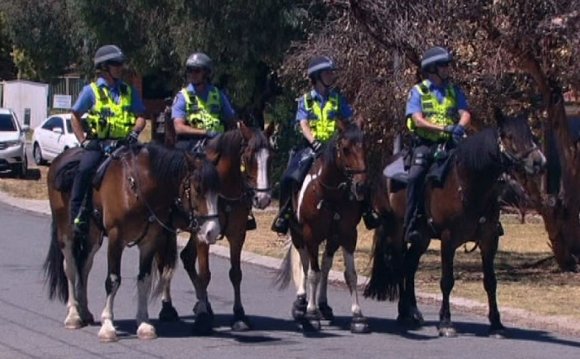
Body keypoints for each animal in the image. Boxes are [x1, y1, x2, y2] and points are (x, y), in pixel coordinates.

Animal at [43, 143, 222, 344]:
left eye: (218, 190)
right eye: (197, 189)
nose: (212, 231)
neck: (137, 188)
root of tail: (60, 158)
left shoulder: (149, 242)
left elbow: (143, 279)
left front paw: (144, 324)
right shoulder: (116, 238)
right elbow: (113, 280)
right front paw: (108, 326)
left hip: (93, 235)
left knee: (84, 266)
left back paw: (85, 311)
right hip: (65, 231)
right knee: (71, 268)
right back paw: (73, 315)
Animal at [159, 121, 276, 334]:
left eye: (271, 157)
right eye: (248, 157)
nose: (263, 198)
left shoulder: (237, 235)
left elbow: (235, 274)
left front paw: (239, 315)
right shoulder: (203, 236)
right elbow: (205, 274)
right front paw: (202, 319)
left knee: (186, 258)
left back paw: (202, 303)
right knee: (165, 262)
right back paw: (168, 307)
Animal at [274, 121, 370, 334]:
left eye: (365, 147)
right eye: (345, 148)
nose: (360, 187)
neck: (331, 194)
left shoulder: (348, 235)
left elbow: (350, 275)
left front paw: (358, 316)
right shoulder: (311, 235)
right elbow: (312, 273)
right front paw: (311, 312)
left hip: (332, 238)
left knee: (325, 265)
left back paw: (323, 305)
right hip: (298, 235)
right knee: (306, 264)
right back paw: (302, 303)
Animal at [364, 109, 548, 338]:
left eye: (531, 135)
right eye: (509, 136)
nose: (539, 162)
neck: (470, 184)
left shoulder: (489, 239)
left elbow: (491, 282)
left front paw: (496, 323)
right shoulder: (448, 239)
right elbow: (447, 281)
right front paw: (445, 322)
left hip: (422, 238)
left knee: (409, 266)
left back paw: (412, 311)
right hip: (395, 231)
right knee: (399, 265)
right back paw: (404, 312)